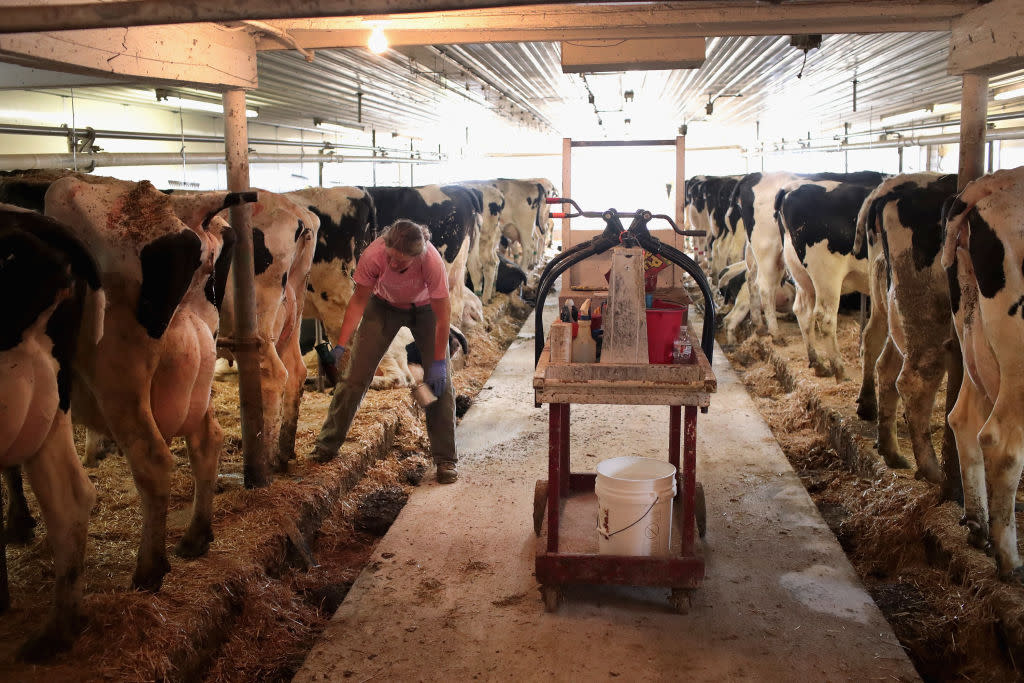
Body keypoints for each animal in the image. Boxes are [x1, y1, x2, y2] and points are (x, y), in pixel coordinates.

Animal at [45, 176, 256, 593]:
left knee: (152, 459)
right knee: (208, 439)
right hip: (199, 356)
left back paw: (148, 570)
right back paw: (195, 538)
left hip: (118, 372)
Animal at [847, 174, 958, 485]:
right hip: (926, 312)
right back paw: (933, 471)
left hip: (890, 301)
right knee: (912, 380)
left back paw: (888, 445)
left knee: (880, 354)